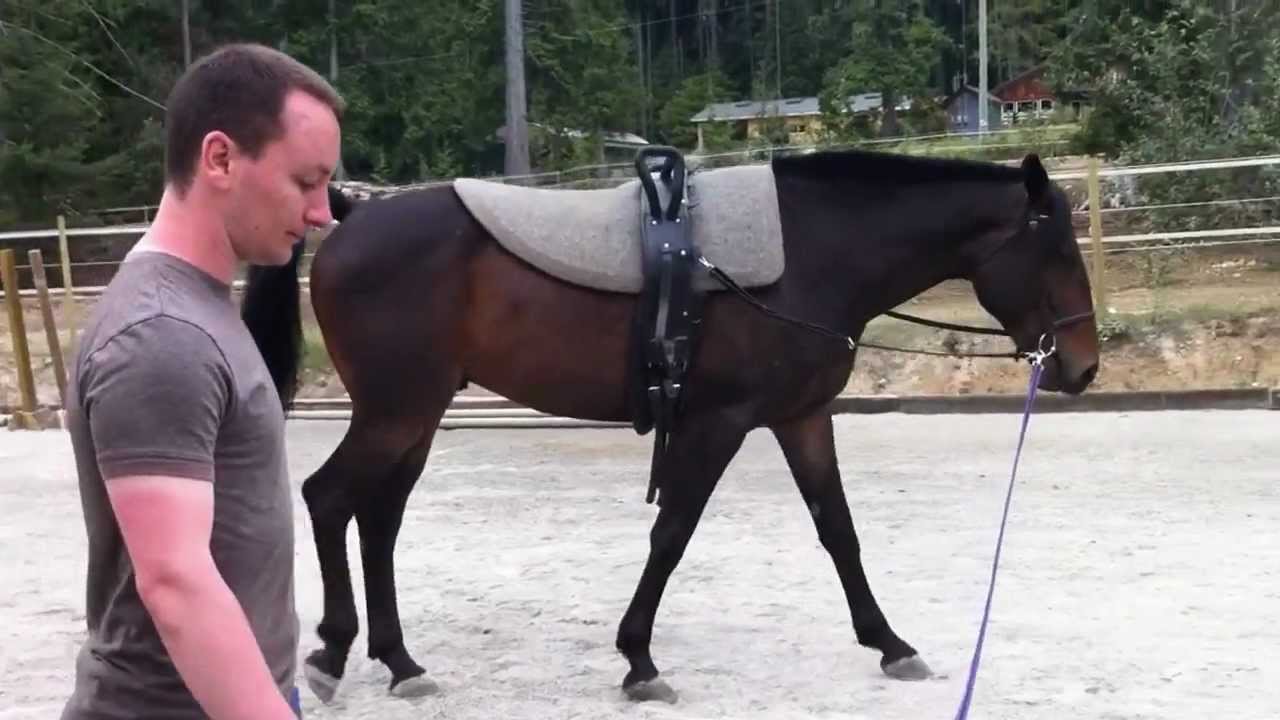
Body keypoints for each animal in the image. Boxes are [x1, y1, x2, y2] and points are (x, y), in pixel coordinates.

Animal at [240, 148, 1100, 704]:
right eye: (1058, 250)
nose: (1083, 366)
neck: (810, 250)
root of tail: (351, 216)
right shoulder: (717, 424)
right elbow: (674, 534)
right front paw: (639, 659)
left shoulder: (801, 419)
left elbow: (838, 531)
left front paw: (890, 644)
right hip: (397, 411)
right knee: (328, 498)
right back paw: (332, 652)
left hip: (415, 414)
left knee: (378, 518)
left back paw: (399, 660)